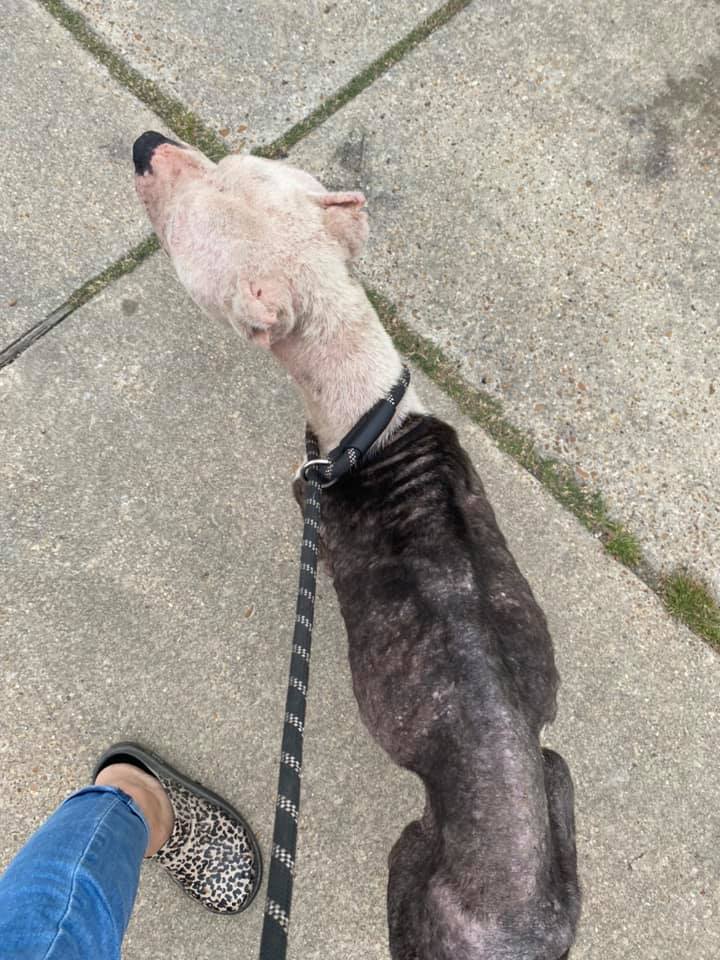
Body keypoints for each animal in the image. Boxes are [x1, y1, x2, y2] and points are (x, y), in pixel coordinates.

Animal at [132, 131, 584, 956]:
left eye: (180, 233)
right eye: (232, 160)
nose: (147, 143)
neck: (370, 411)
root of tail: (524, 916)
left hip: (411, 879)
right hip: (557, 776)